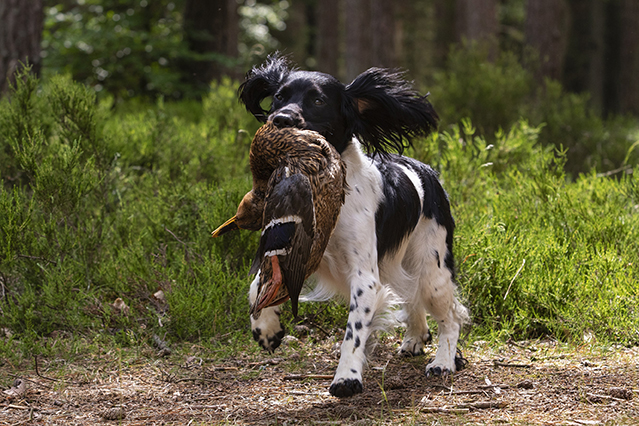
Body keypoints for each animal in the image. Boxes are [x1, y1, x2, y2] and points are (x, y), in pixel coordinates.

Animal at [238, 55, 469, 398]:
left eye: (318, 100)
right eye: (279, 96)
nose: (280, 119)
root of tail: (428, 172)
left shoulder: (365, 276)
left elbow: (355, 330)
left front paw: (346, 377)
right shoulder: (293, 247)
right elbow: (257, 284)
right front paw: (266, 328)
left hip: (433, 268)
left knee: (450, 317)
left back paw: (443, 361)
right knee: (413, 300)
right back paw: (414, 338)